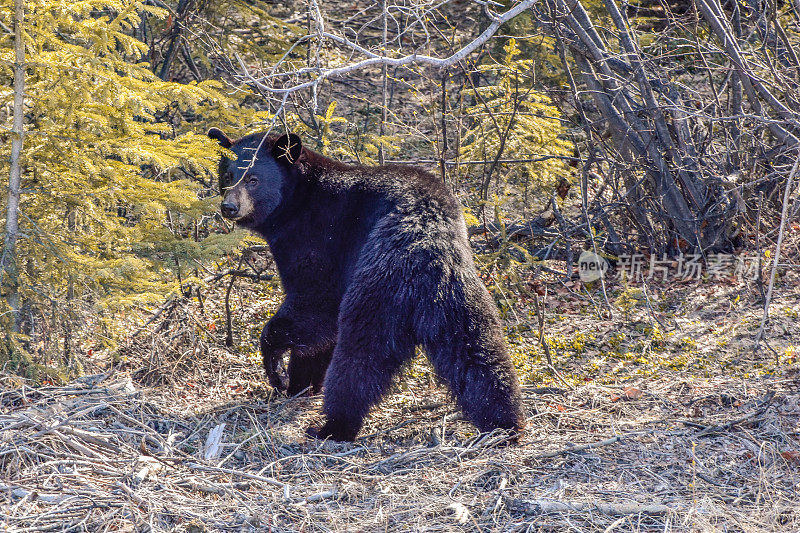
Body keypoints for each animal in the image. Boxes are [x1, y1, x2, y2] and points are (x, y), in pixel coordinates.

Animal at [212, 129, 524, 440]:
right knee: (478, 351)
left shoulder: (317, 242)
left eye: (252, 179)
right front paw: (301, 385)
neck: (299, 199)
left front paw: (279, 373)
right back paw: (504, 422)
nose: (229, 207)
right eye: (227, 174)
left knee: (359, 358)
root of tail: (425, 240)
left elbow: (315, 305)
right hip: (459, 295)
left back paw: (332, 427)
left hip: (379, 290)